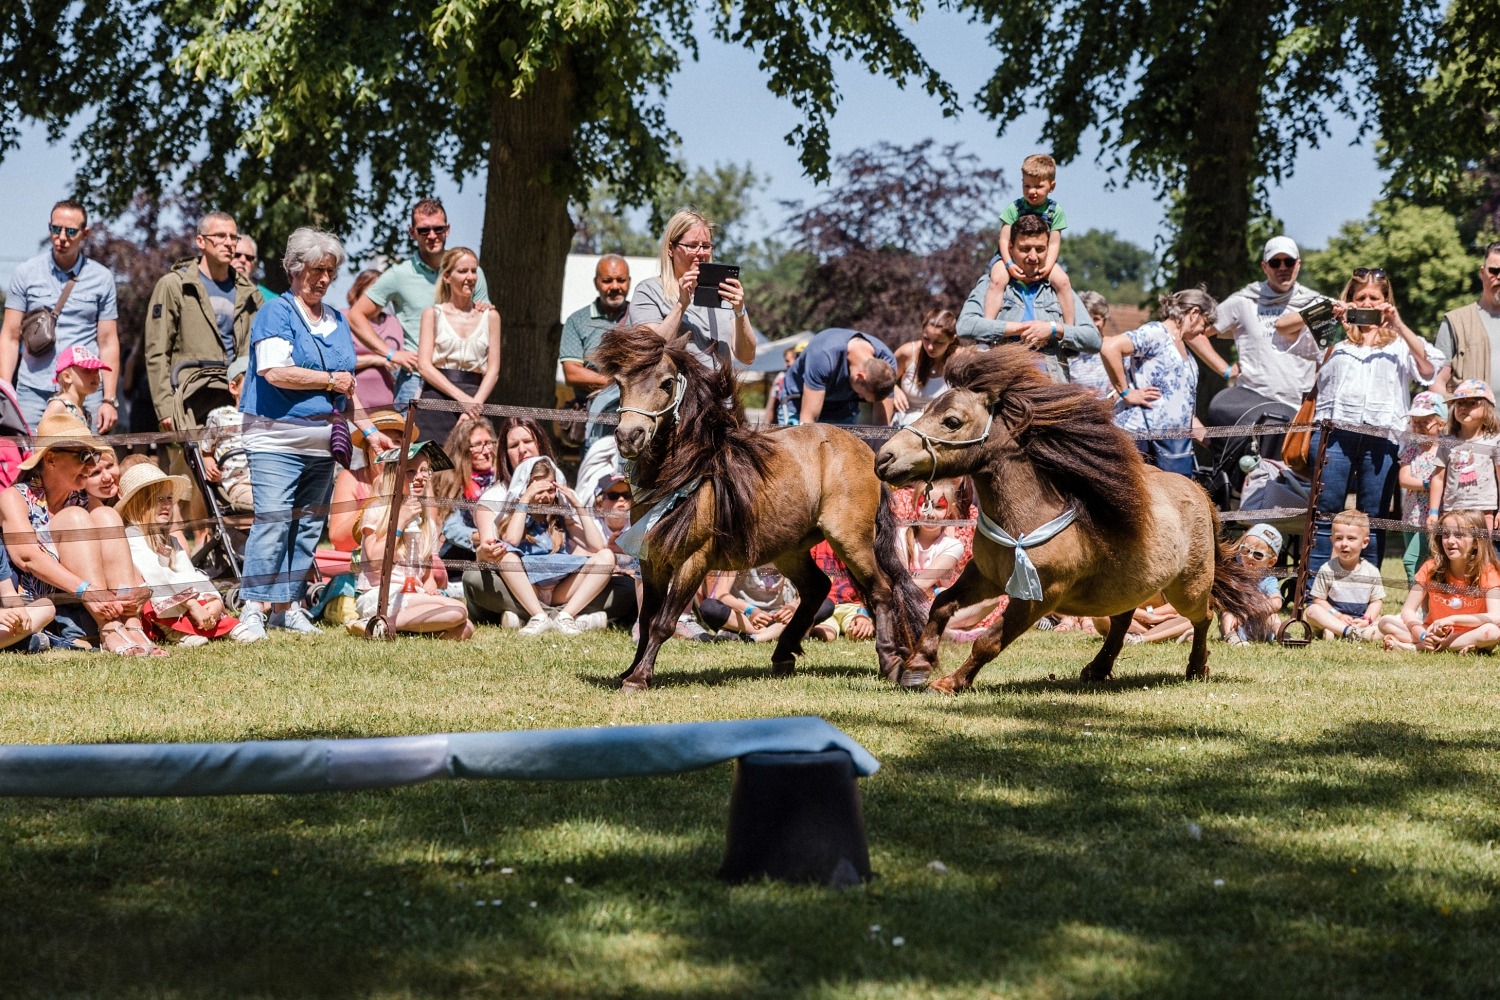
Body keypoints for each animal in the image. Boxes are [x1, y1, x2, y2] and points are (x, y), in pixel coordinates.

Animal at [588, 325, 924, 692]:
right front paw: (630, 671)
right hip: (790, 550)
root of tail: (869, 453)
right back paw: (783, 655)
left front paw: (639, 677)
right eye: (620, 383)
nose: (628, 437)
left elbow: (663, 622)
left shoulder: (693, 560)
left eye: (665, 383)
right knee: (817, 588)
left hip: (850, 541)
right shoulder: (653, 561)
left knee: (881, 590)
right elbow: (647, 618)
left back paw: (892, 662)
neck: (689, 471)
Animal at [876, 341, 1272, 689]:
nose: (884, 458)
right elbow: (941, 604)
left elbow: (988, 641)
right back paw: (1098, 668)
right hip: (1126, 586)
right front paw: (917, 666)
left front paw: (949, 682)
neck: (1024, 523)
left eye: (952, 421)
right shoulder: (984, 576)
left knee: (1204, 616)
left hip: (1187, 588)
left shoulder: (1037, 598)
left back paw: (1196, 668)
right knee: (1122, 618)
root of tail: (1200, 493)